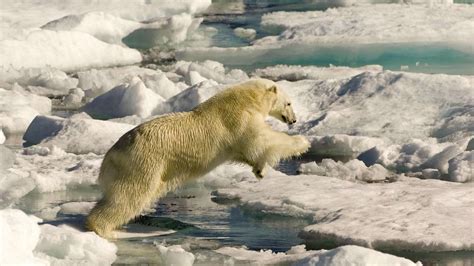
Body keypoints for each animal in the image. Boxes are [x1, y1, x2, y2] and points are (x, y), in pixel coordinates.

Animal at [85, 78, 312, 237]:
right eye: (289, 103)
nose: (293, 120)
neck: (247, 97)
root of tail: (110, 156)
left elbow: (248, 151)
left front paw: (260, 170)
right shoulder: (239, 119)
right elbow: (262, 140)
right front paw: (303, 141)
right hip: (142, 163)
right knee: (130, 195)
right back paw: (104, 229)